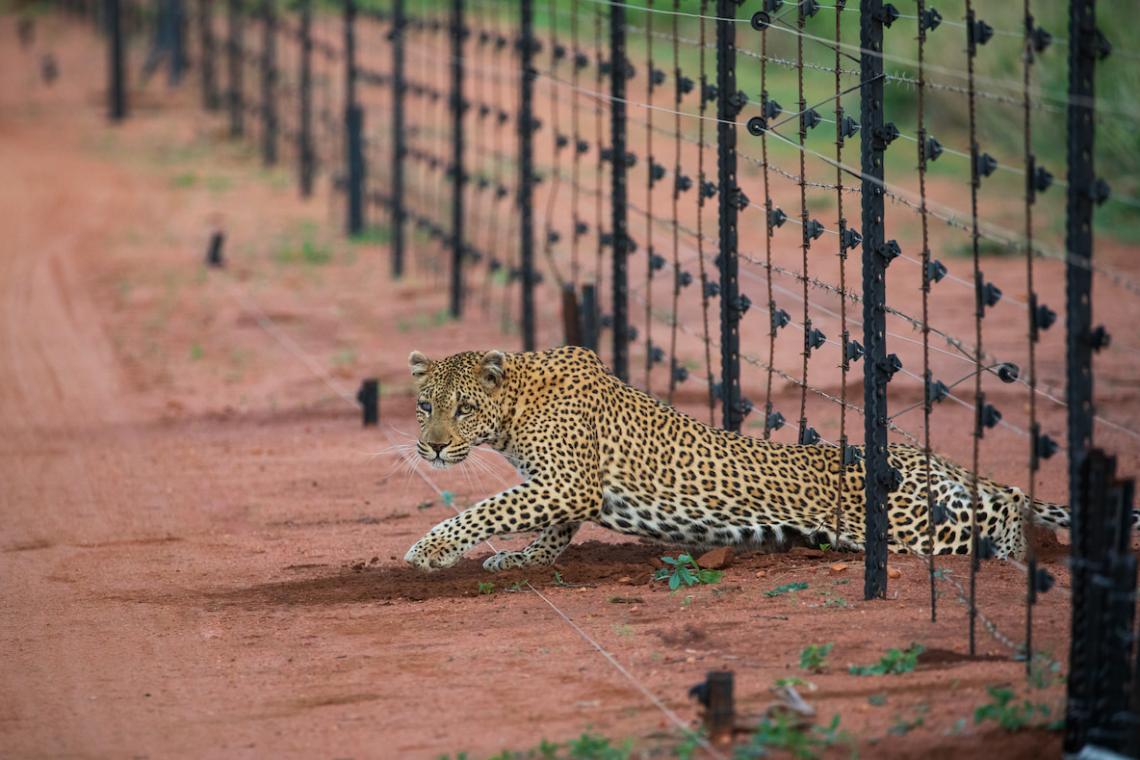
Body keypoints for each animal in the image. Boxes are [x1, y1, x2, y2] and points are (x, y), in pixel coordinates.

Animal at [402, 345, 1135, 572]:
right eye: (425, 405)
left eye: (462, 409)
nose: (430, 445)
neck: (514, 404)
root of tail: (926, 453)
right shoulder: (559, 488)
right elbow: (543, 529)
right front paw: (523, 559)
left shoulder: (566, 482)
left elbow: (488, 507)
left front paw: (430, 550)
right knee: (1004, 497)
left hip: (913, 524)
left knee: (1005, 504)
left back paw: (1021, 553)